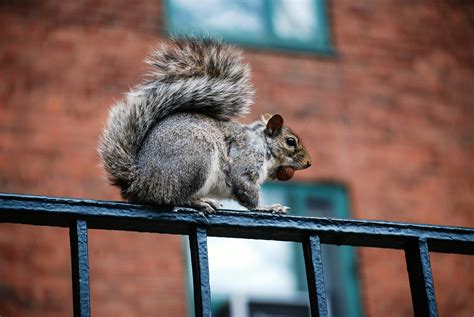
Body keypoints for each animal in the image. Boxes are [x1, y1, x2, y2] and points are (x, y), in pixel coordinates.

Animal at [97, 37, 312, 212]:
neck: (263, 144)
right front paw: (268, 208)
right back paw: (198, 202)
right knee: (169, 199)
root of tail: (139, 181)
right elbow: (246, 190)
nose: (309, 163)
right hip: (196, 159)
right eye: (290, 141)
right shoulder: (246, 159)